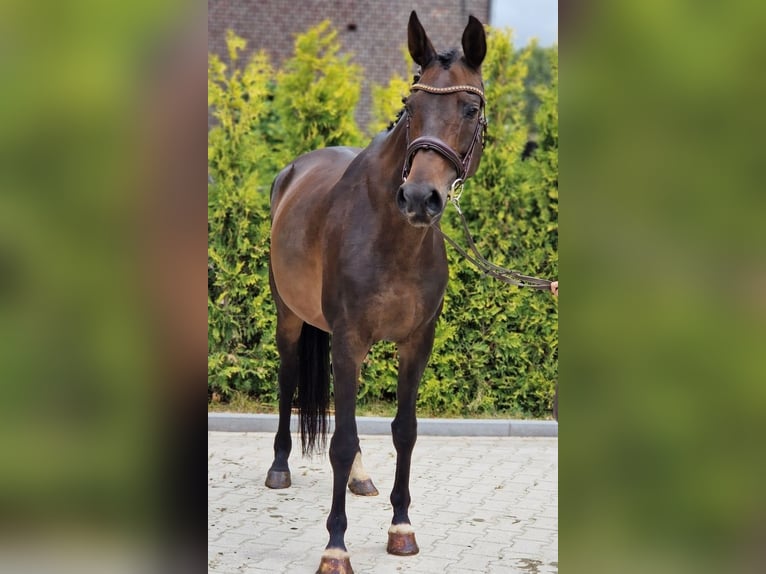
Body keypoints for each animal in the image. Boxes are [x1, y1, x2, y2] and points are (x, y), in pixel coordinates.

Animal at [265, 11, 487, 574]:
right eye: (411, 106)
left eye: (470, 108)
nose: (420, 198)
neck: (393, 237)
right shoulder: (348, 338)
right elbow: (340, 441)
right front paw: (335, 547)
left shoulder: (415, 343)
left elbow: (404, 430)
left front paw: (402, 528)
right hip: (290, 317)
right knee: (288, 377)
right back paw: (279, 466)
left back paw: (362, 477)